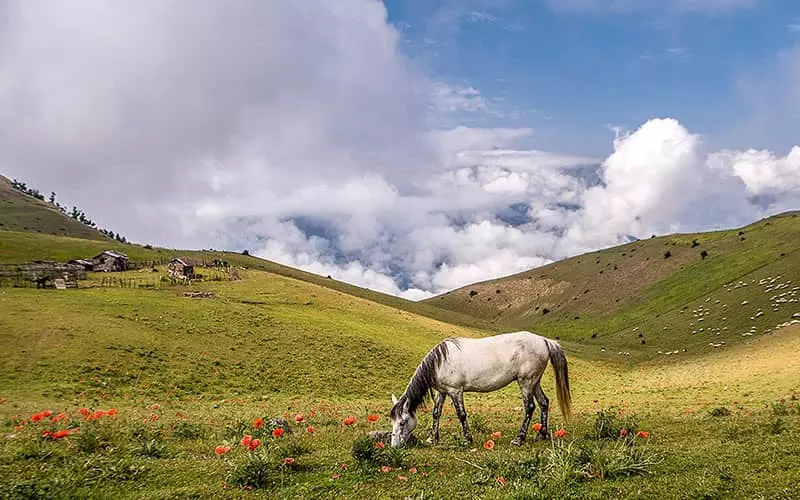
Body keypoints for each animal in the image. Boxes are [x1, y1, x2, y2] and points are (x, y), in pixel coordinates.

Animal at [390, 332, 572, 450]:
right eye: (392, 422)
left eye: (402, 422)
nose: (394, 447)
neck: (440, 361)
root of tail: (544, 340)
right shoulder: (441, 392)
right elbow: (436, 414)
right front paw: (433, 439)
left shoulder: (455, 391)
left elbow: (461, 415)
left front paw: (467, 440)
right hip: (535, 382)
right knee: (544, 403)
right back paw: (541, 435)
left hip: (526, 382)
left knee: (530, 407)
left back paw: (518, 439)